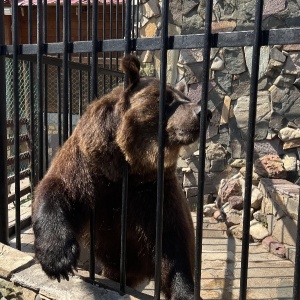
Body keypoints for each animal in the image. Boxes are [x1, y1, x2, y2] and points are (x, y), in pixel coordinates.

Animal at [32, 55, 211, 298]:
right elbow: (60, 189)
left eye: (185, 98)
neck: (127, 164)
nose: (204, 113)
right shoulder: (89, 165)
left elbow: (172, 242)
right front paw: (59, 260)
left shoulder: (153, 189)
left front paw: (185, 291)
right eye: (167, 99)